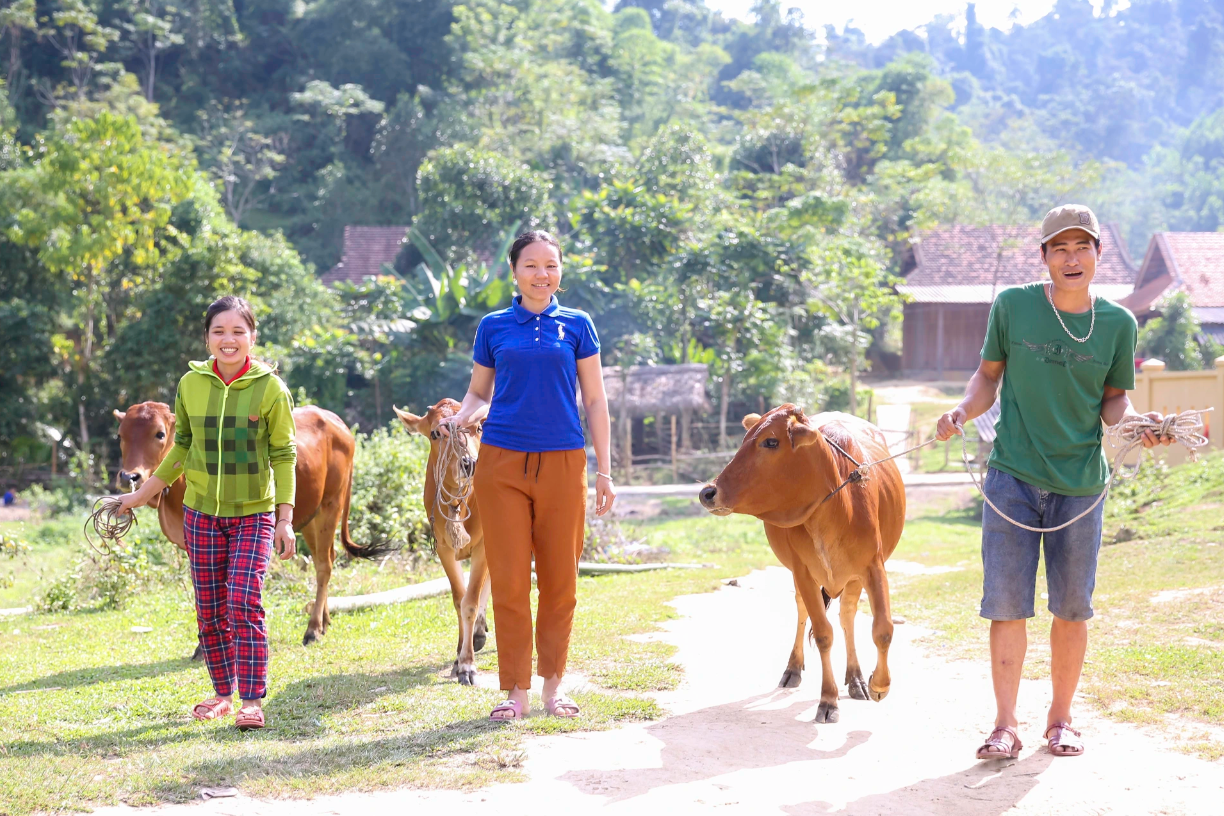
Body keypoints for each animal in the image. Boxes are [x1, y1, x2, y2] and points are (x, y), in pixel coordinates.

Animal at [113, 398, 391, 645]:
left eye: (159, 434)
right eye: (120, 435)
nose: (130, 476)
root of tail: (338, 423)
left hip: (330, 506)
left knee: (324, 566)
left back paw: (312, 629)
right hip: (310, 518)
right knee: (327, 559)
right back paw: (324, 621)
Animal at [391, 398, 487, 685]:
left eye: (479, 427)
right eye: (435, 433)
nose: (469, 463)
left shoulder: (484, 544)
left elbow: (471, 601)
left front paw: (468, 665)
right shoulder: (444, 547)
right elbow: (459, 599)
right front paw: (459, 656)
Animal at [695, 406, 905, 724]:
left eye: (771, 442)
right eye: (744, 439)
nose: (708, 492)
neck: (836, 507)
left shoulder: (873, 567)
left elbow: (883, 629)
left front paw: (879, 684)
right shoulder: (804, 572)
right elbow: (823, 634)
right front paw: (828, 700)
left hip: (852, 579)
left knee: (847, 616)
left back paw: (855, 678)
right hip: (801, 575)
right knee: (804, 611)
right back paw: (793, 669)